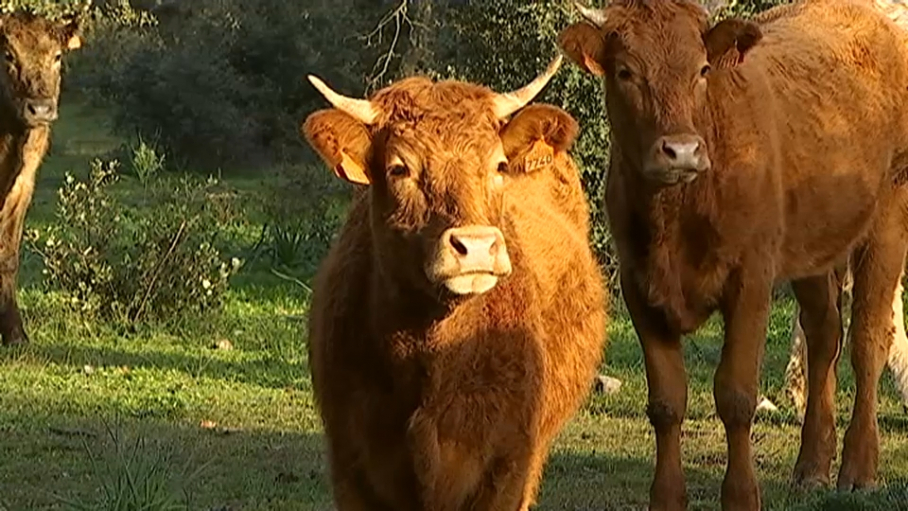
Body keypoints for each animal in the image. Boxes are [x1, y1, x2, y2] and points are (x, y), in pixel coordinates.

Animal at [556, 0, 908, 510]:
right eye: (625, 71)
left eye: (702, 70)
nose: (681, 151)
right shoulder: (639, 287)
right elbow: (666, 402)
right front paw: (666, 498)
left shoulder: (750, 281)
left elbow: (736, 395)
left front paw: (742, 495)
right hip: (815, 245)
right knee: (825, 335)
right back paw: (811, 466)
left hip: (888, 218)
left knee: (868, 340)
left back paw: (859, 469)